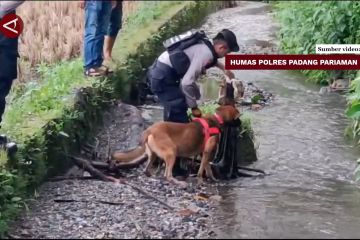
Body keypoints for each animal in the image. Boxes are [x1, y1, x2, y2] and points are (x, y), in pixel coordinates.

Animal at [111, 105, 240, 188]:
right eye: (238, 117)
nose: (240, 123)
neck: (217, 119)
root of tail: (149, 130)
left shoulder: (204, 153)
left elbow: (207, 167)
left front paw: (212, 178)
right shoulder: (208, 151)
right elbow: (201, 170)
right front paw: (200, 181)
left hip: (153, 154)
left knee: (146, 169)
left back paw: (152, 175)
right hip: (171, 152)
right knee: (167, 175)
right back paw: (177, 182)